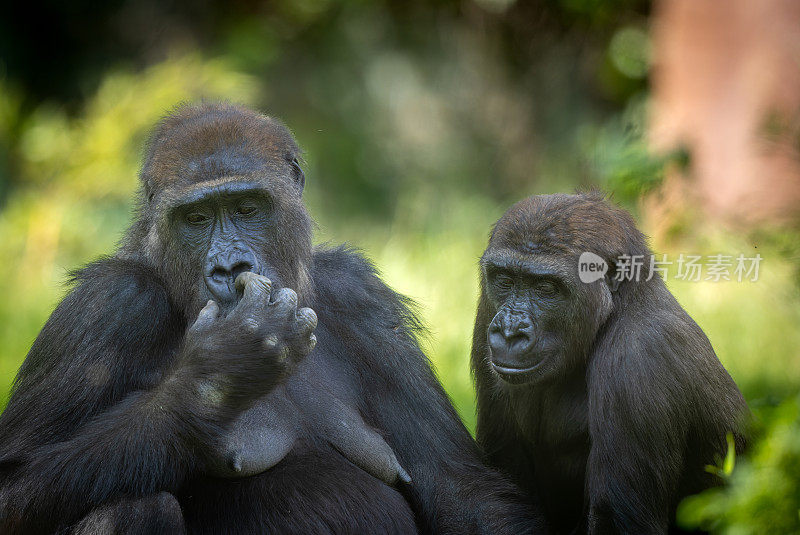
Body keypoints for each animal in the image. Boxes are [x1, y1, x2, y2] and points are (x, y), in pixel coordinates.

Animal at [0, 102, 544, 532]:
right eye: (196, 218)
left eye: (247, 207)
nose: (229, 268)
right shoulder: (108, 307)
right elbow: (16, 483)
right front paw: (219, 373)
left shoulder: (362, 301)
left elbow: (461, 491)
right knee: (132, 505)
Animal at [472, 194, 748, 535]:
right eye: (505, 280)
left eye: (546, 288)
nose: (510, 331)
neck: (619, 306)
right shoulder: (486, 311)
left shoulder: (639, 357)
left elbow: (616, 520)